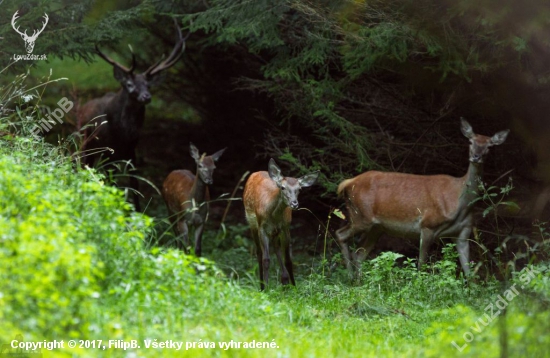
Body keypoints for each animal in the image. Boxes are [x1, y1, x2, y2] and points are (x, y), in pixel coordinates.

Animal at [78, 18, 189, 210]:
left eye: (148, 85)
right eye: (129, 84)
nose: (146, 96)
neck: (122, 133)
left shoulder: (132, 151)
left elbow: (135, 186)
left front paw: (137, 211)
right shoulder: (109, 152)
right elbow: (112, 184)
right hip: (85, 143)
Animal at [245, 159, 322, 290]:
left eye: (299, 189)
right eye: (282, 187)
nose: (294, 204)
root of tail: (256, 172)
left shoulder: (285, 228)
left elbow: (288, 260)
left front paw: (294, 287)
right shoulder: (262, 228)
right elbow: (266, 259)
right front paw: (266, 288)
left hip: (275, 232)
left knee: (276, 248)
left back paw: (284, 279)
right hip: (252, 223)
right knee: (259, 253)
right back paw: (261, 285)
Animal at [338, 119, 512, 278]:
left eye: (490, 146)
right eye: (470, 141)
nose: (476, 157)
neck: (459, 202)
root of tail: (347, 183)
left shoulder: (464, 231)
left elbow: (469, 272)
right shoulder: (427, 224)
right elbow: (421, 264)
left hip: (376, 227)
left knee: (359, 253)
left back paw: (358, 281)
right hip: (360, 215)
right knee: (341, 235)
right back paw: (350, 277)